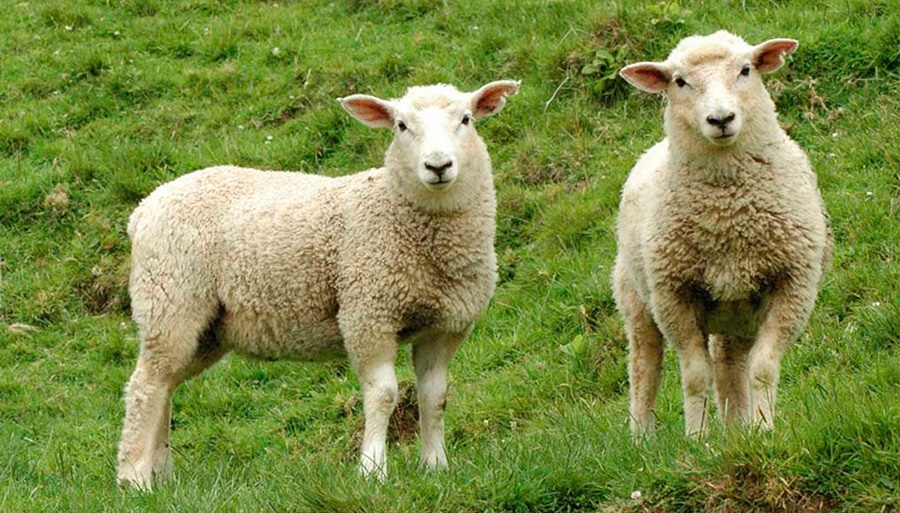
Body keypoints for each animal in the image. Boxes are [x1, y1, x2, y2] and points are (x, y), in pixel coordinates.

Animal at [116, 80, 520, 489]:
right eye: (401, 126)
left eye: (466, 119)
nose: (437, 166)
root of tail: (143, 209)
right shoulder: (367, 314)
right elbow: (383, 394)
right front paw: (372, 470)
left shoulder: (446, 326)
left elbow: (435, 396)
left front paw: (436, 466)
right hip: (170, 301)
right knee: (144, 387)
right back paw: (135, 477)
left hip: (206, 329)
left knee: (165, 385)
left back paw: (161, 475)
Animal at [613, 31, 832, 437]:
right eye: (680, 81)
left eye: (745, 70)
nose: (721, 119)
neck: (728, 213)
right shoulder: (673, 296)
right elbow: (695, 375)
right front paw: (697, 439)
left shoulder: (791, 286)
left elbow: (762, 367)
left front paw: (763, 432)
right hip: (636, 299)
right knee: (644, 366)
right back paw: (641, 438)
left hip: (737, 311)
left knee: (730, 364)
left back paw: (737, 431)